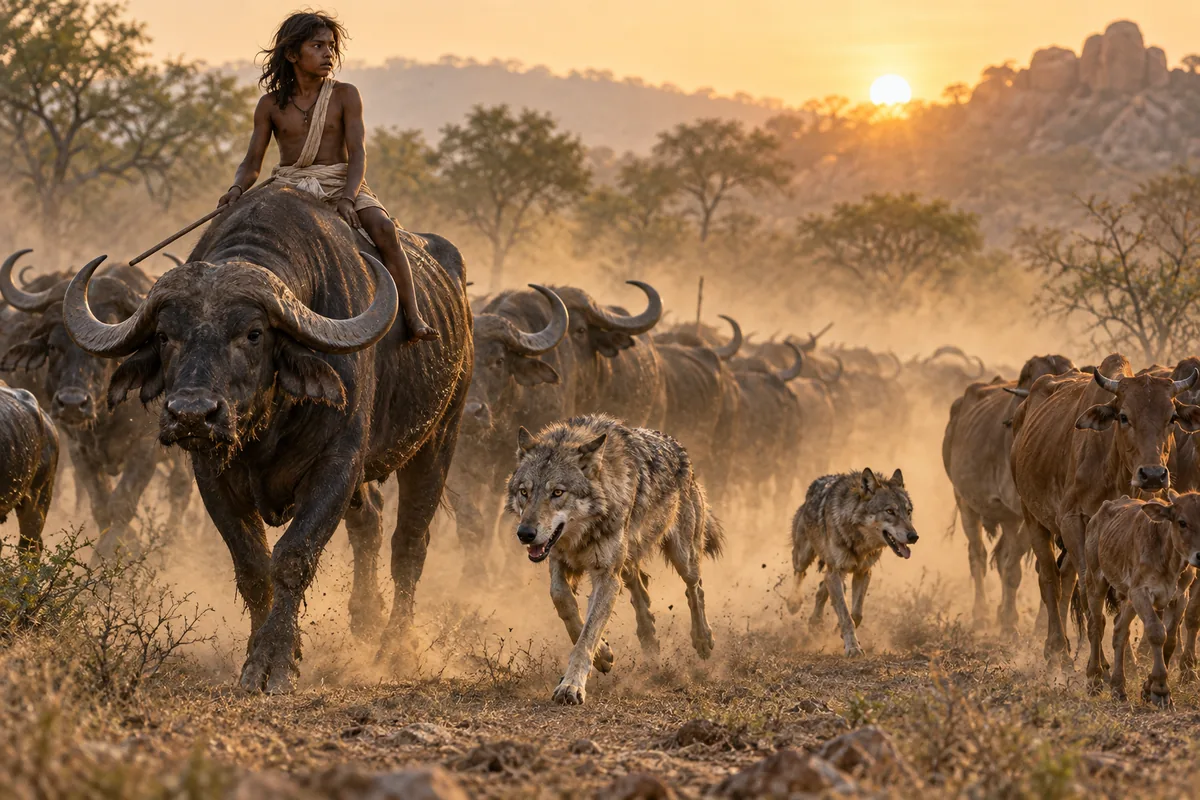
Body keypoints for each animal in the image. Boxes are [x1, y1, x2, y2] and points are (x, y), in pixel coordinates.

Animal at [506, 413, 724, 705]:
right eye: (524, 492)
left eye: (558, 493)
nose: (525, 534)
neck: (582, 535)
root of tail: (680, 449)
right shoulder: (559, 560)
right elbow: (563, 602)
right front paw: (603, 655)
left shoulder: (606, 575)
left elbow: (587, 635)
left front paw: (571, 686)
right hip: (627, 563)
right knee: (641, 591)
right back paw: (650, 642)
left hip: (682, 557)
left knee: (695, 588)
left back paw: (702, 639)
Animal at [786, 468, 919, 656]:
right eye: (890, 511)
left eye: (908, 511)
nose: (914, 536)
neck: (859, 541)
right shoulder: (836, 571)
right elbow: (845, 614)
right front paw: (853, 648)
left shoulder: (863, 572)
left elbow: (855, 614)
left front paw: (839, 632)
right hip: (804, 556)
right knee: (799, 571)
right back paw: (794, 603)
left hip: (834, 571)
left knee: (822, 587)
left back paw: (816, 622)